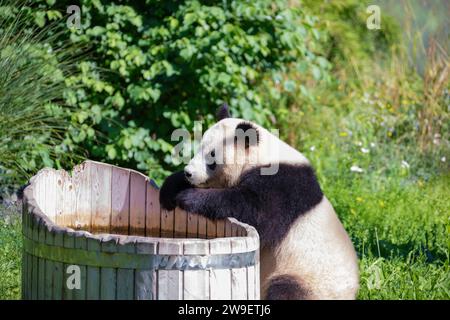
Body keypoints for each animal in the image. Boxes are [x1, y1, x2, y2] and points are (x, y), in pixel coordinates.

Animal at [158, 105, 358, 300]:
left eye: (212, 157)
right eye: (199, 148)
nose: (189, 173)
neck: (262, 155)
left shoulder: (283, 185)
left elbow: (256, 211)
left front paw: (188, 197)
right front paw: (169, 190)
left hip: (309, 277)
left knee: (286, 290)